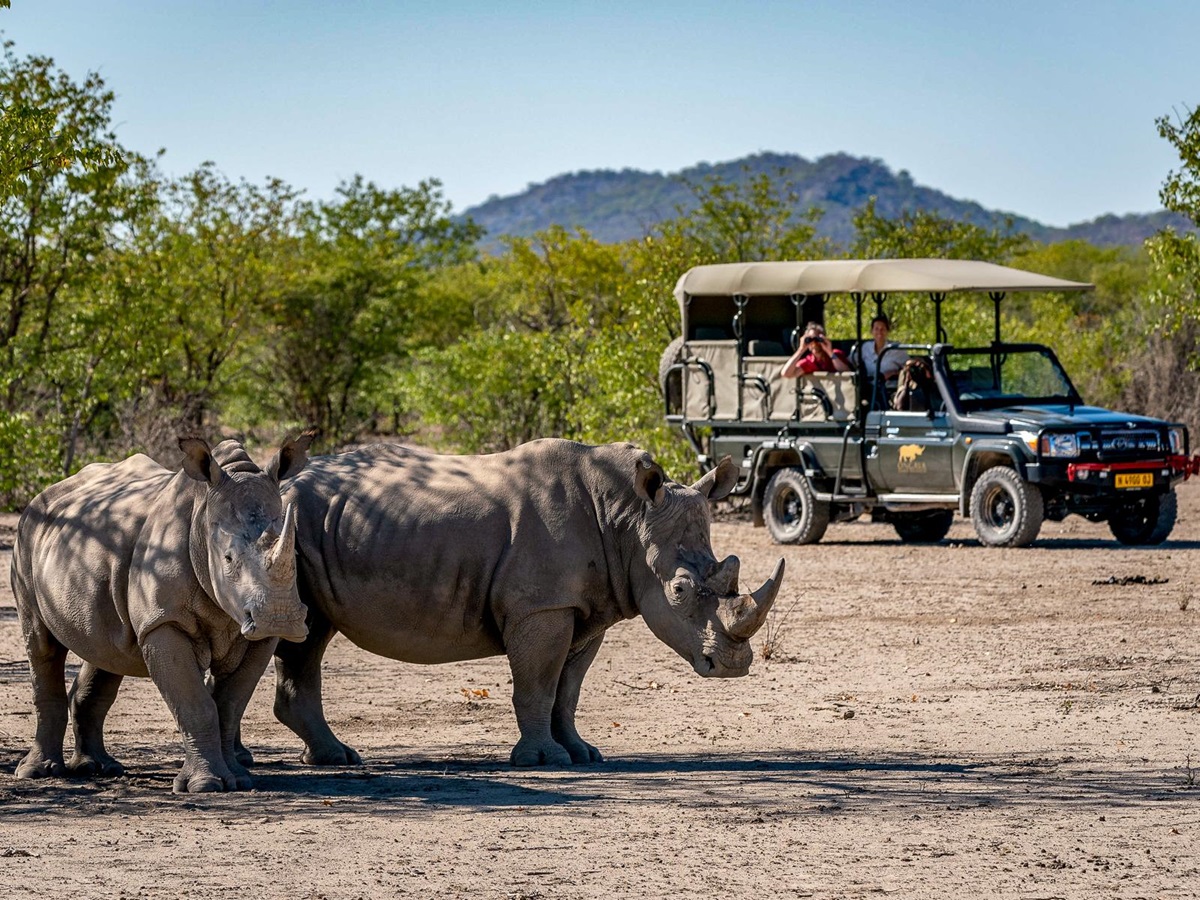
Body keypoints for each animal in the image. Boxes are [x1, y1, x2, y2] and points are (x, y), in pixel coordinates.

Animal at [10, 435, 313, 792]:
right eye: (227, 558)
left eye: (295, 555)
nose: (279, 619)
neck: (202, 519)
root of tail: (46, 494)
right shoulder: (163, 622)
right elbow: (196, 703)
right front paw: (206, 785)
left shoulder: (258, 636)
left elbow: (230, 705)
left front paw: (239, 779)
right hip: (26, 536)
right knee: (42, 645)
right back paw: (37, 772)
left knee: (106, 648)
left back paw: (97, 768)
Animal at [273, 439, 785, 767]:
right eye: (678, 591)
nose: (733, 665)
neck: (627, 519)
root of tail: (279, 482)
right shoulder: (542, 606)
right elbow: (538, 683)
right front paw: (543, 760)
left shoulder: (584, 609)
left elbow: (567, 690)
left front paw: (583, 754)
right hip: (290, 529)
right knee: (303, 634)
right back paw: (336, 758)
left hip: (313, 530)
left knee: (311, 634)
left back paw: (331, 758)